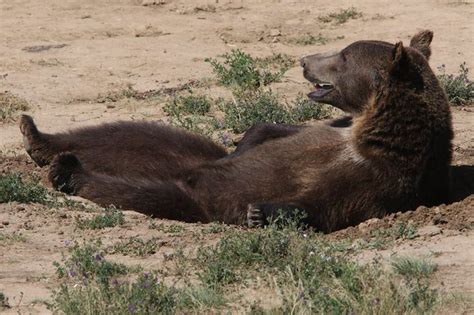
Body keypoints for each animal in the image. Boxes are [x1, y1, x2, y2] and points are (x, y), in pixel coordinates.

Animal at [20, 30, 454, 232]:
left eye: (343, 57)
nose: (304, 60)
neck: (370, 125)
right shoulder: (335, 131)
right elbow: (271, 132)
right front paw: (246, 141)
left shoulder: (379, 174)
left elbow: (327, 202)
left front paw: (261, 212)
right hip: (184, 155)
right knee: (137, 136)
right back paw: (36, 137)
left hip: (195, 195)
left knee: (141, 190)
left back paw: (68, 170)